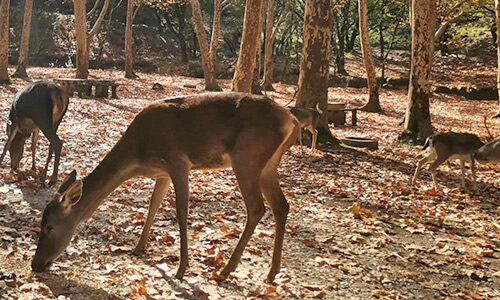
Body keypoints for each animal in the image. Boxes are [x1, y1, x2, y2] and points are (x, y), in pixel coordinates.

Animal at [32, 92, 300, 284]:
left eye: (49, 226)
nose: (36, 265)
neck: (138, 155)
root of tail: (292, 121)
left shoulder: (178, 162)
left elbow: (181, 212)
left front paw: (181, 269)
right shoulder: (162, 174)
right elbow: (153, 205)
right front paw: (138, 248)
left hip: (247, 156)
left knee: (256, 207)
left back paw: (226, 270)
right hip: (268, 164)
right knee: (282, 206)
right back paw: (272, 273)